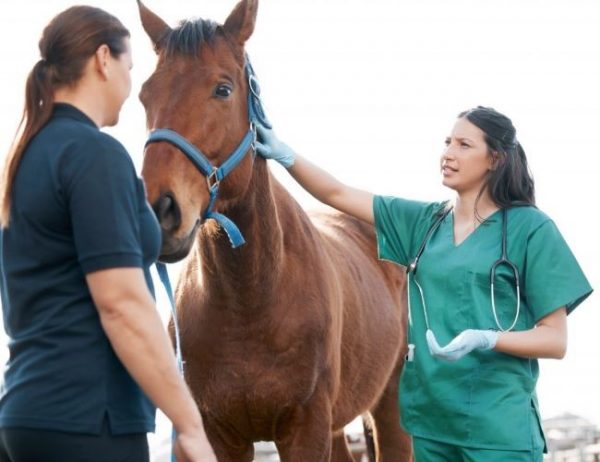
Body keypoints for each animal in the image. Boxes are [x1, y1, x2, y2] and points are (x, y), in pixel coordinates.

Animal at [136, 1, 412, 460]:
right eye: (144, 94)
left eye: (223, 89)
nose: (158, 210)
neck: (250, 299)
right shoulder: (218, 434)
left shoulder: (305, 428)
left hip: (390, 407)